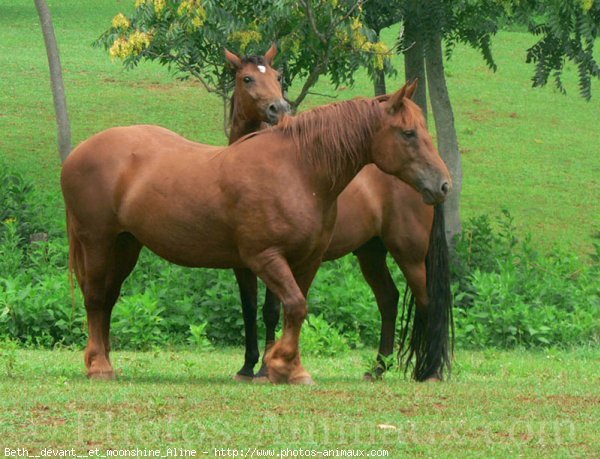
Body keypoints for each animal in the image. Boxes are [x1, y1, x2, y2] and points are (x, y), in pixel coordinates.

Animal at [63, 82, 452, 384]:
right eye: (408, 133)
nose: (444, 184)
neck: (298, 170)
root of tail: (75, 155)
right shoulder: (263, 258)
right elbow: (292, 306)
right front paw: (278, 365)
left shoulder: (306, 260)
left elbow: (295, 308)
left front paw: (287, 367)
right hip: (99, 242)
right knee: (96, 299)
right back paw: (100, 366)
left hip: (126, 245)